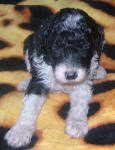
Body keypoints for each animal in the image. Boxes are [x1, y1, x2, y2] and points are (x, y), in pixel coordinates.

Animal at [4, 8, 107, 148]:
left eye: (85, 46)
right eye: (56, 47)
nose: (70, 75)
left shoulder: (83, 83)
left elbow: (80, 104)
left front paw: (77, 124)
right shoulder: (39, 79)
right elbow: (30, 106)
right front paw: (20, 131)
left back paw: (98, 71)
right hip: (29, 43)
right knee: (30, 69)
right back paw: (25, 83)